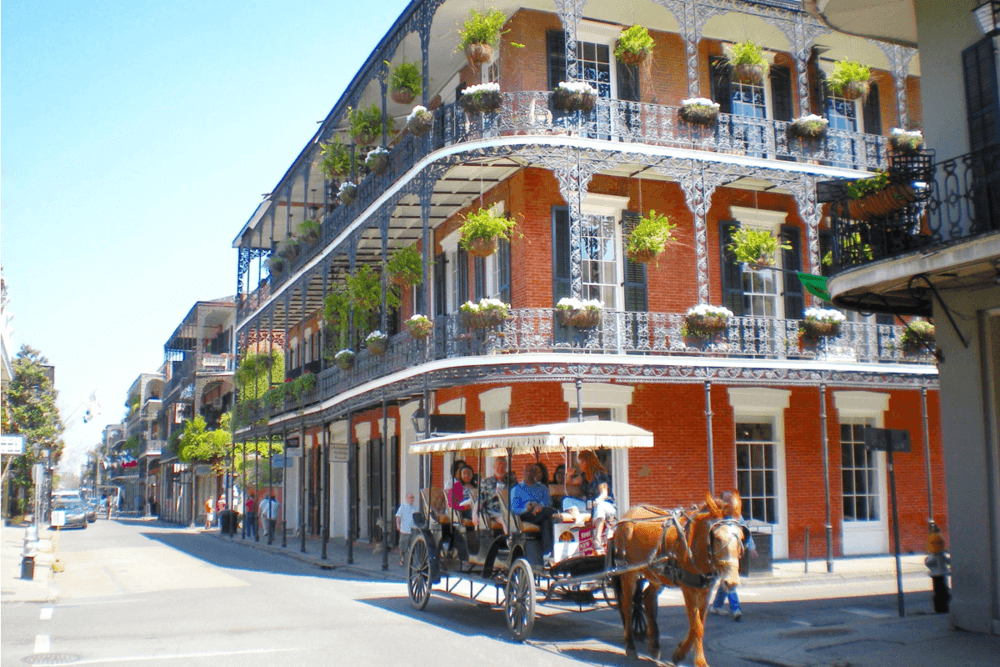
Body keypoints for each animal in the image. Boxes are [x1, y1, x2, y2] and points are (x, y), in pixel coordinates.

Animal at [608, 494, 752, 664]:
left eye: (741, 537)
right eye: (717, 538)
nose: (731, 582)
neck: (696, 544)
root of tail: (627, 515)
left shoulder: (706, 589)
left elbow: (699, 623)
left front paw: (679, 653)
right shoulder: (688, 588)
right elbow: (697, 626)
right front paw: (699, 661)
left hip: (656, 574)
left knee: (647, 599)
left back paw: (654, 645)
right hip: (628, 573)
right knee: (627, 605)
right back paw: (630, 646)